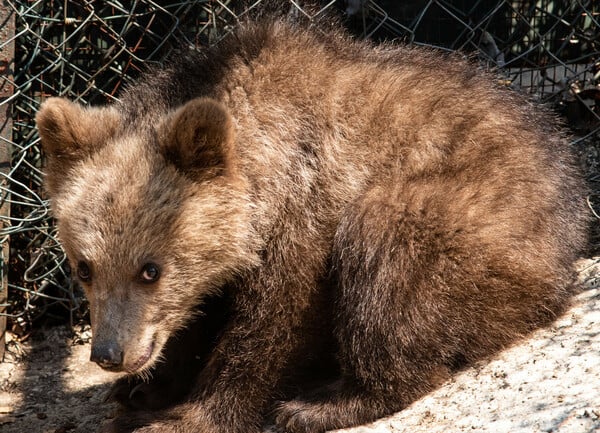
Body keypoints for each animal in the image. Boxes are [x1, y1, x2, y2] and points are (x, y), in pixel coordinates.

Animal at [35, 13, 588, 432]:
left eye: (151, 269)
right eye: (85, 267)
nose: (110, 353)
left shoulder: (306, 208)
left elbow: (274, 321)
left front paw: (187, 416)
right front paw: (143, 390)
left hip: (478, 225)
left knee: (389, 254)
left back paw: (326, 403)